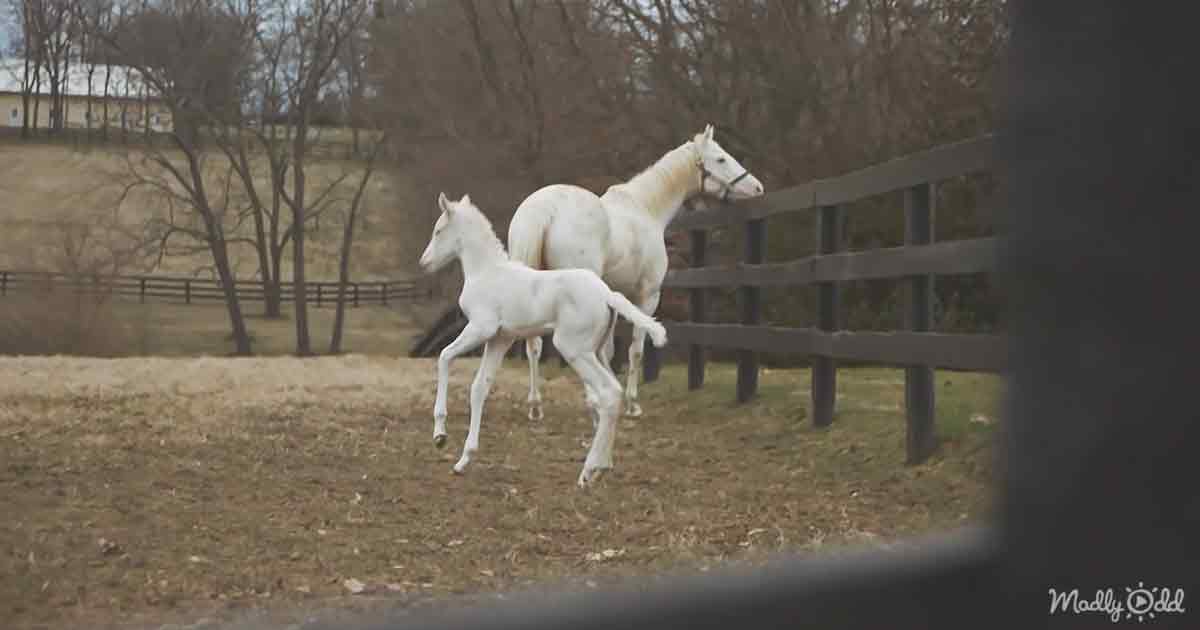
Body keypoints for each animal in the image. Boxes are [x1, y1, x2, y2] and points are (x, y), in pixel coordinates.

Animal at [418, 192, 668, 488]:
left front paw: (440, 435)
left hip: (573, 349)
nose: (424, 262)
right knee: (613, 392)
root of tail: (607, 294)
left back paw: (587, 472)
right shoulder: (499, 340)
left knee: (608, 393)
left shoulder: (480, 328)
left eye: (438, 231)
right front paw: (464, 459)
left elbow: (444, 356)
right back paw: (603, 465)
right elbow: (479, 388)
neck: (487, 272)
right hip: (594, 350)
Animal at [507, 124, 764, 421]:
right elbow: (636, 349)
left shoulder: (614, 296)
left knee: (534, 345)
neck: (645, 208)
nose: (757, 187)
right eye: (721, 159)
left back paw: (536, 406)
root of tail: (543, 209)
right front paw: (632, 403)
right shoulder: (646, 296)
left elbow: (607, 349)